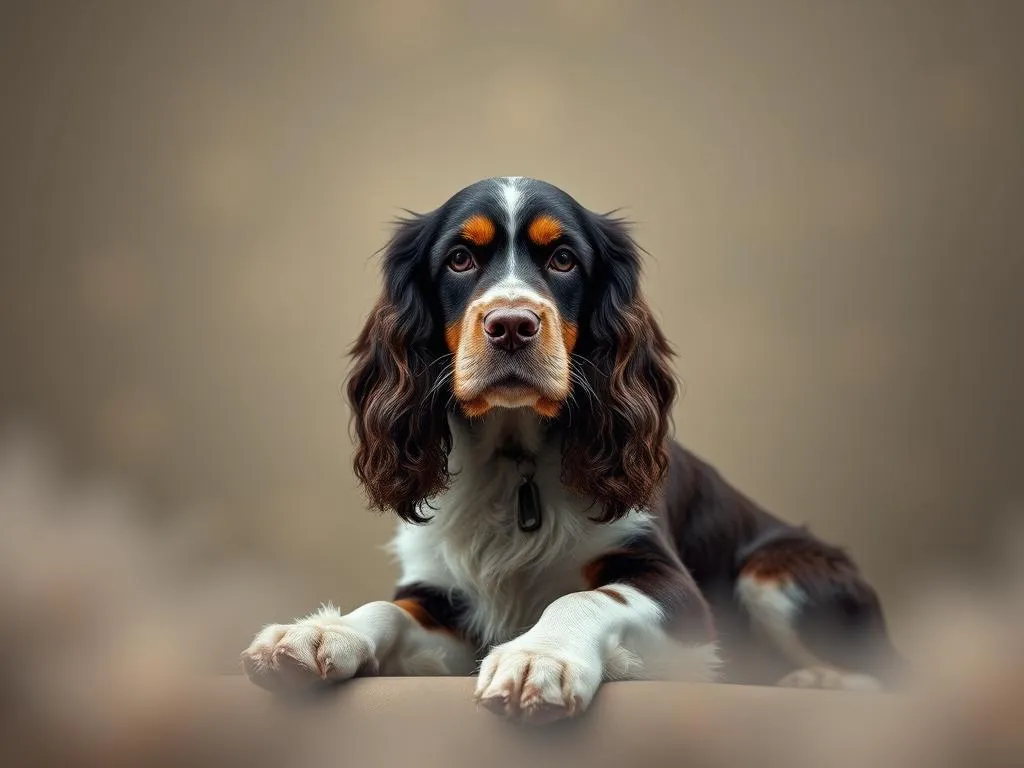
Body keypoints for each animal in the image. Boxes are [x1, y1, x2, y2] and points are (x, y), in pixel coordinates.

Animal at [241, 177, 905, 724]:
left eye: (563, 259)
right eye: (459, 258)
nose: (511, 325)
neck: (517, 462)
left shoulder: (676, 591)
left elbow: (585, 595)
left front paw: (539, 658)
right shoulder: (443, 596)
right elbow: (389, 608)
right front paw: (319, 635)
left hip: (776, 571)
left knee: (886, 675)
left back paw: (818, 679)